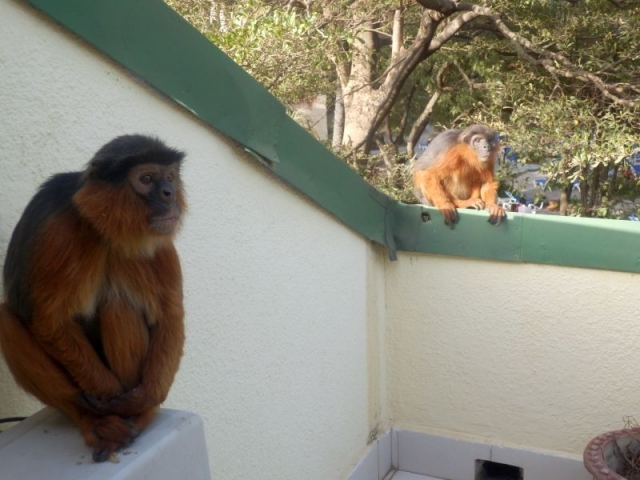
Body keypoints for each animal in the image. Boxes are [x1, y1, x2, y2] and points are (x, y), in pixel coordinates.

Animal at [0, 134, 189, 462]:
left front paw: (140, 400)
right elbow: (49, 322)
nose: (169, 193)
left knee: (118, 304)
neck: (105, 231)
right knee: (6, 319)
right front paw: (112, 397)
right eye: (146, 179)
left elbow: (170, 316)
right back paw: (92, 419)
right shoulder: (59, 232)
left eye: (169, 177)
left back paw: (138, 414)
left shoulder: (159, 236)